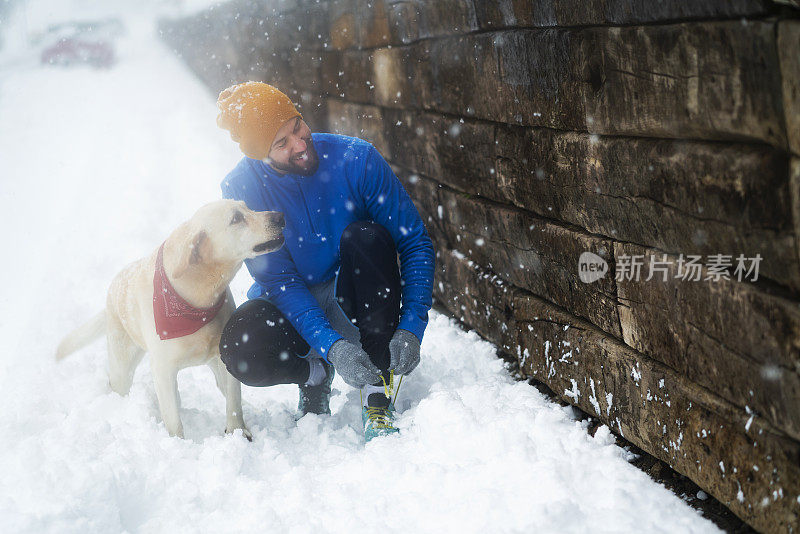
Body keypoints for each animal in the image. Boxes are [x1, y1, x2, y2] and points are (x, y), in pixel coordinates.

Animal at [54, 201, 284, 440]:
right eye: (236, 218)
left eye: (247, 207)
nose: (280, 216)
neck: (198, 297)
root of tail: (113, 288)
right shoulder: (163, 370)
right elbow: (173, 421)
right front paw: (178, 444)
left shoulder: (225, 359)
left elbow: (234, 403)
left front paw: (238, 432)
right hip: (122, 366)